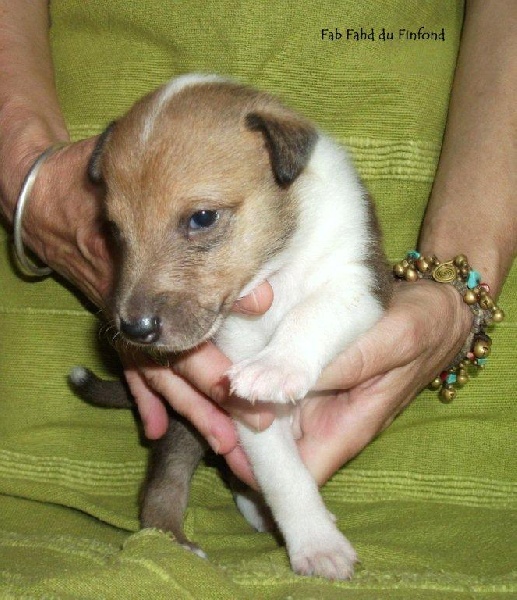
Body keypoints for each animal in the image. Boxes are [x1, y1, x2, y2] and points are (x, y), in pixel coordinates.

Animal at [70, 73, 392, 580]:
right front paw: (318, 546)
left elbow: (312, 311)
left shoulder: (362, 282)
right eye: (115, 232)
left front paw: (275, 367)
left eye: (202, 217)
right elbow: (283, 474)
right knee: (162, 484)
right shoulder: (240, 386)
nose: (134, 330)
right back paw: (174, 540)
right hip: (184, 424)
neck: (276, 267)